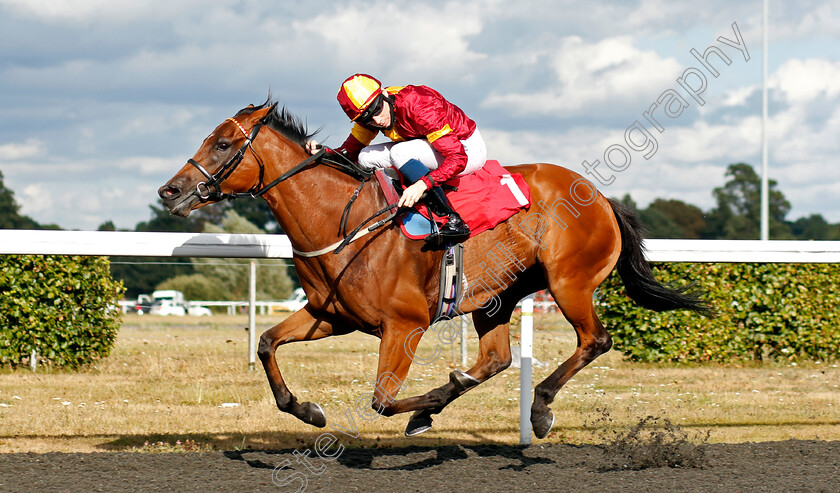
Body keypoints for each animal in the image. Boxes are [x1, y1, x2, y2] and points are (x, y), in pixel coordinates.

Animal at [156, 101, 708, 438]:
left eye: (223, 144)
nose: (169, 190)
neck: (347, 221)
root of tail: (602, 197)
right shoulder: (330, 315)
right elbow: (268, 343)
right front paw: (308, 410)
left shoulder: (405, 325)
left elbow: (381, 400)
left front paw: (420, 407)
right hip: (497, 297)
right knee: (496, 359)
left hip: (569, 282)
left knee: (595, 340)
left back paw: (537, 408)